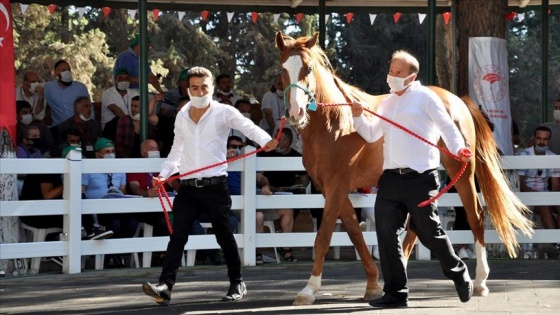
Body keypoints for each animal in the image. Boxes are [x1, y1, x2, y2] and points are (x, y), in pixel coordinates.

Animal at [276, 33, 532, 308]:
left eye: (309, 68)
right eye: (282, 69)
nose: (296, 113)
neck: (336, 121)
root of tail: (458, 101)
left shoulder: (336, 187)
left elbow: (323, 237)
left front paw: (309, 289)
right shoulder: (331, 189)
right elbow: (355, 232)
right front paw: (373, 284)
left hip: (462, 172)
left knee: (475, 216)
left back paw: (480, 282)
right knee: (415, 228)